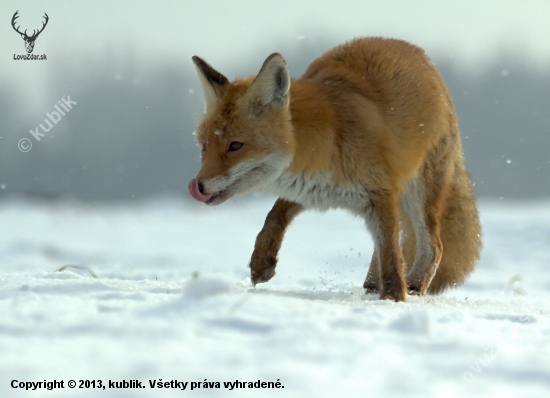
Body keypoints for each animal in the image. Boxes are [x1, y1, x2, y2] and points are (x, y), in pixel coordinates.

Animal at [190, 38, 484, 304]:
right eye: (204, 146)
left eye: (235, 145)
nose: (198, 186)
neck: (329, 139)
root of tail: (425, 59)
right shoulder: (311, 189)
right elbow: (274, 215)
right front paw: (262, 260)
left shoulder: (379, 192)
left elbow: (391, 255)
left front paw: (393, 299)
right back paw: (372, 285)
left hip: (419, 193)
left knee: (433, 247)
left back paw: (412, 287)